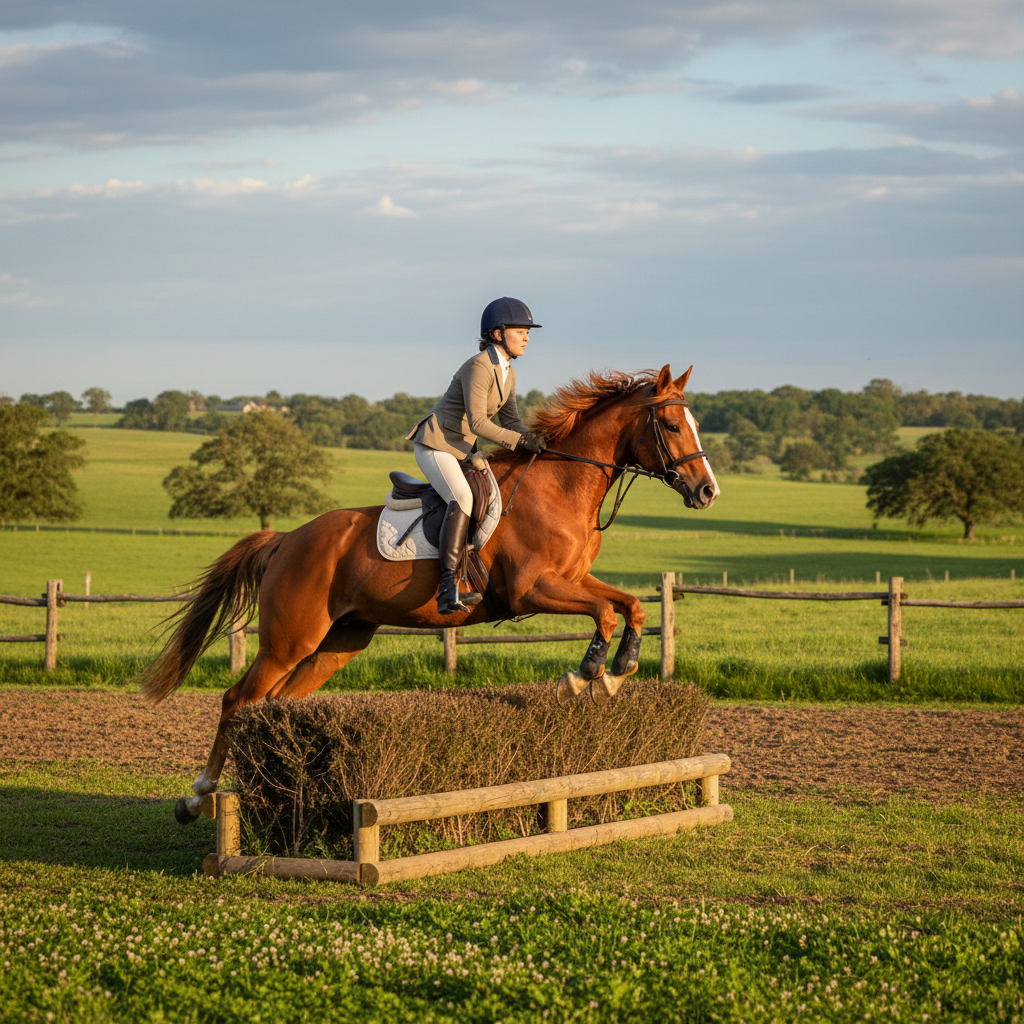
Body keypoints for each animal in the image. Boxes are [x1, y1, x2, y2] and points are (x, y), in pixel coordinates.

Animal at [139, 364, 720, 822]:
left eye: (694, 423)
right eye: (672, 425)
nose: (708, 491)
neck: (560, 487)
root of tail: (286, 538)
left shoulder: (571, 580)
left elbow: (630, 606)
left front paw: (618, 673)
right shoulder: (532, 591)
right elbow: (604, 614)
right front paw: (584, 677)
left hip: (339, 641)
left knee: (274, 704)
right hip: (289, 639)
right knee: (238, 701)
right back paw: (196, 798)